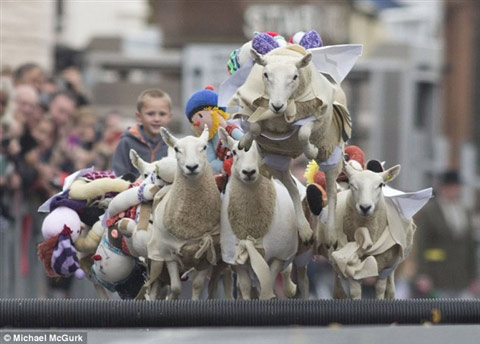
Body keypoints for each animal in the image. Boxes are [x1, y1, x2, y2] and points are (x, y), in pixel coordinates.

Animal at [145, 125, 222, 298]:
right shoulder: (168, 253)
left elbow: (197, 285)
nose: (192, 167)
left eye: (204, 147)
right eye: (176, 149)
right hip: (156, 261)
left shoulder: (207, 254)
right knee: (154, 288)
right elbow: (176, 288)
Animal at [218, 127, 300, 300]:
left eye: (261, 152)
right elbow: (245, 286)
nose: (248, 172)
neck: (252, 227)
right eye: (234, 152)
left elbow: (268, 282)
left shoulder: (278, 255)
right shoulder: (236, 258)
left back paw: (290, 289)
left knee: (287, 272)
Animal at [229, 45, 352, 250]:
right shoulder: (254, 116)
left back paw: (331, 235)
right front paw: (244, 142)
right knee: (293, 188)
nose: (277, 105)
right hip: (276, 160)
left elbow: (303, 132)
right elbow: (254, 127)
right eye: (265, 74)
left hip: (331, 153)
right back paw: (305, 232)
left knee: (332, 191)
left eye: (295, 76)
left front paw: (311, 150)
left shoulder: (316, 118)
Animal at [330, 163, 416, 300]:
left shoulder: (384, 266)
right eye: (352, 185)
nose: (365, 207)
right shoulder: (351, 265)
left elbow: (380, 289)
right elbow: (355, 292)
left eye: (380, 185)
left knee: (390, 287)